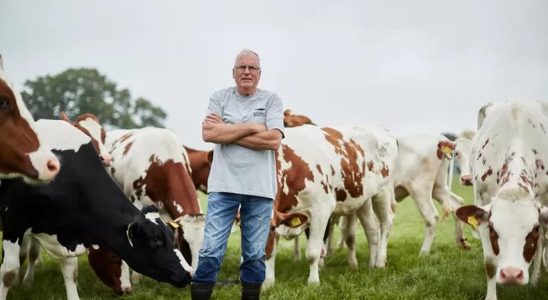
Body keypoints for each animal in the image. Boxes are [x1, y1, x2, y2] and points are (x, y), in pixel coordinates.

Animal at [0, 119, 193, 300]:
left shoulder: (66, 232)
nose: (189, 273)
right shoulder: (14, 221)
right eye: (156, 240)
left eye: (173, 239)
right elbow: (9, 272)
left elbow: (71, 271)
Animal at [264, 123, 396, 288]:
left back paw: (379, 262)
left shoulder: (321, 209)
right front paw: (268, 283)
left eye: (270, 227)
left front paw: (313, 283)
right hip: (363, 198)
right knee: (371, 229)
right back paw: (371, 264)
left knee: (386, 223)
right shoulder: (280, 215)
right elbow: (271, 253)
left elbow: (313, 252)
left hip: (383, 190)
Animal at [456, 101, 548, 300]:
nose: (512, 274)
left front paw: (535, 278)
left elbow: (541, 241)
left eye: (533, 230)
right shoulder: (483, 204)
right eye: (493, 229)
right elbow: (490, 262)